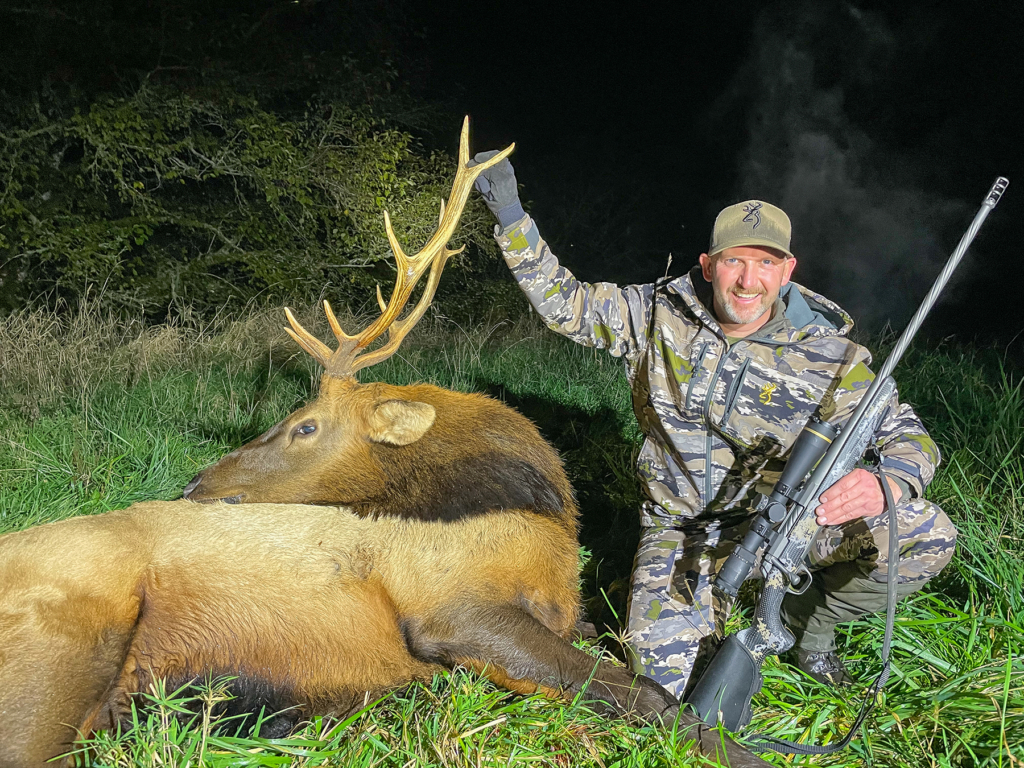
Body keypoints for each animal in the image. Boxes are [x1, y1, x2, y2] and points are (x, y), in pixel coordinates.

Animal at [0, 120, 768, 768]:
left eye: (305, 425)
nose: (194, 486)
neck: (539, 516)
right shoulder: (451, 606)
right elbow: (647, 695)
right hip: (58, 658)